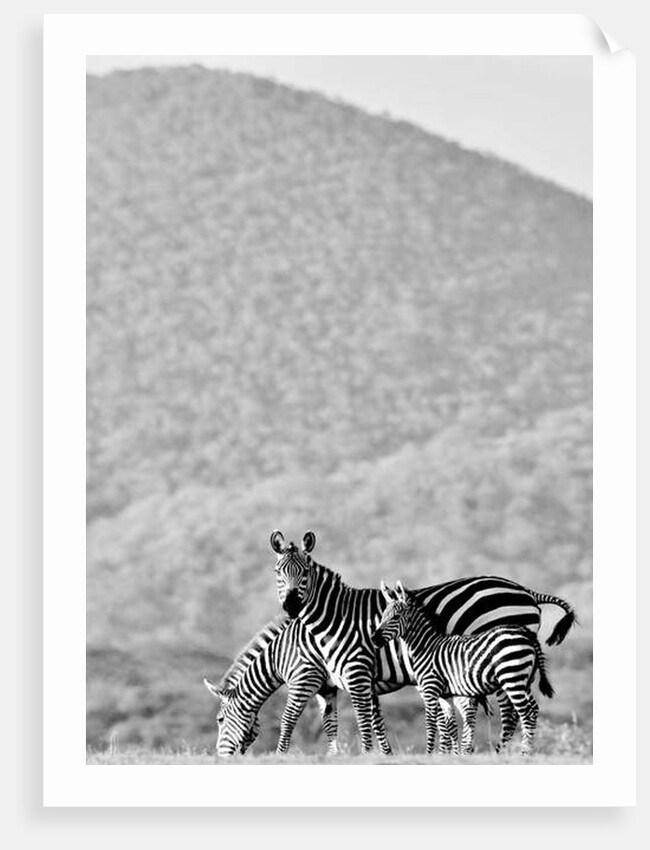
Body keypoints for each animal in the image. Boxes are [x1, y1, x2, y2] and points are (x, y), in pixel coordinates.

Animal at [372, 581, 554, 755]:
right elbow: (449, 725)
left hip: (511, 677)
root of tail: (527, 634)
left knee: (525, 713)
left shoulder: (430, 688)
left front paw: (429, 753)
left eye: (396, 617)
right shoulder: (445, 694)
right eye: (382, 616)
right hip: (523, 679)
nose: (373, 639)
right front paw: (453, 754)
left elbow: (430, 724)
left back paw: (524, 753)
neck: (426, 646)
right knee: (532, 710)